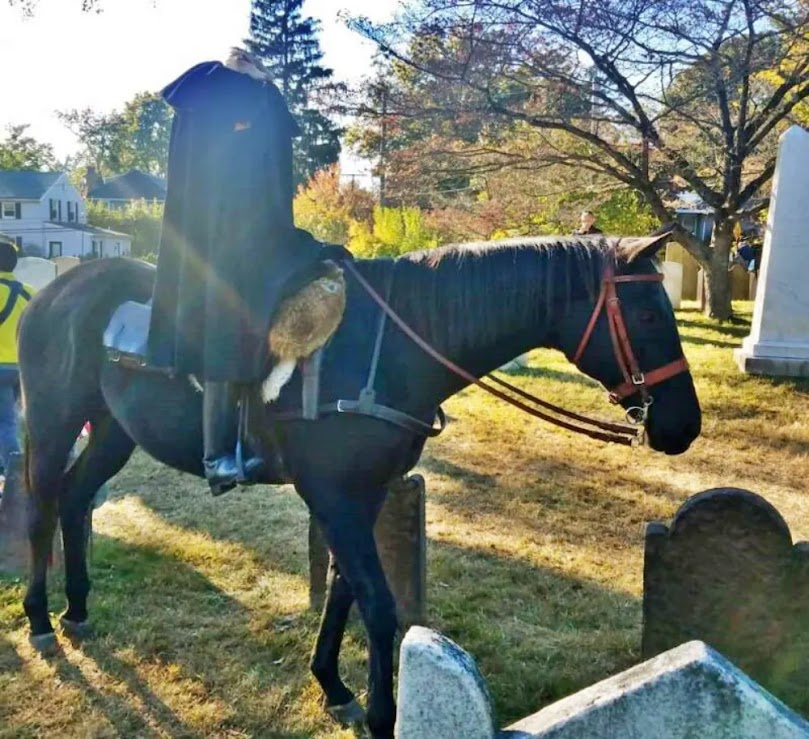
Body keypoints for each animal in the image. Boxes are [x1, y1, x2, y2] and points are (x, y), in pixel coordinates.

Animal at [19, 233, 700, 739]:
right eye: (646, 312)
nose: (683, 425)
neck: (391, 349)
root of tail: (54, 292)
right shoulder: (336, 498)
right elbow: (376, 601)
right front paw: (380, 713)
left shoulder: (364, 495)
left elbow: (346, 590)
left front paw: (333, 685)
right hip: (54, 423)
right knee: (42, 508)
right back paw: (40, 620)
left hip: (113, 431)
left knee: (75, 501)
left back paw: (76, 610)